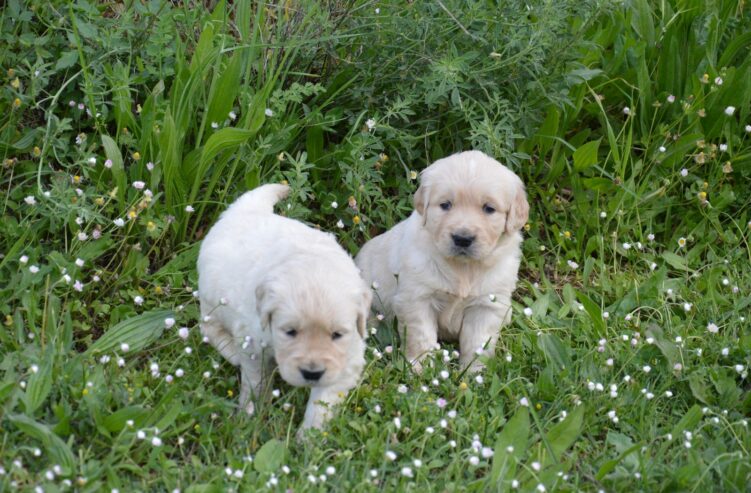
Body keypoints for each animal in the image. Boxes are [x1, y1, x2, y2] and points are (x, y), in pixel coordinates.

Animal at [198, 184, 372, 430]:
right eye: (290, 332)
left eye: (337, 335)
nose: (312, 373)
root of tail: (244, 209)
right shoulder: (253, 342)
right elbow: (256, 381)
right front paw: (250, 414)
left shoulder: (348, 358)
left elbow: (322, 404)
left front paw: (310, 436)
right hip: (210, 296)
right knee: (207, 326)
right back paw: (231, 351)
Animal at [356, 152, 528, 370]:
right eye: (446, 205)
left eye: (489, 208)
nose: (462, 238)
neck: (463, 268)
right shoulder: (417, 298)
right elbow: (420, 336)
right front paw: (419, 367)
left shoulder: (487, 304)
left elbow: (478, 343)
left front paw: (474, 372)